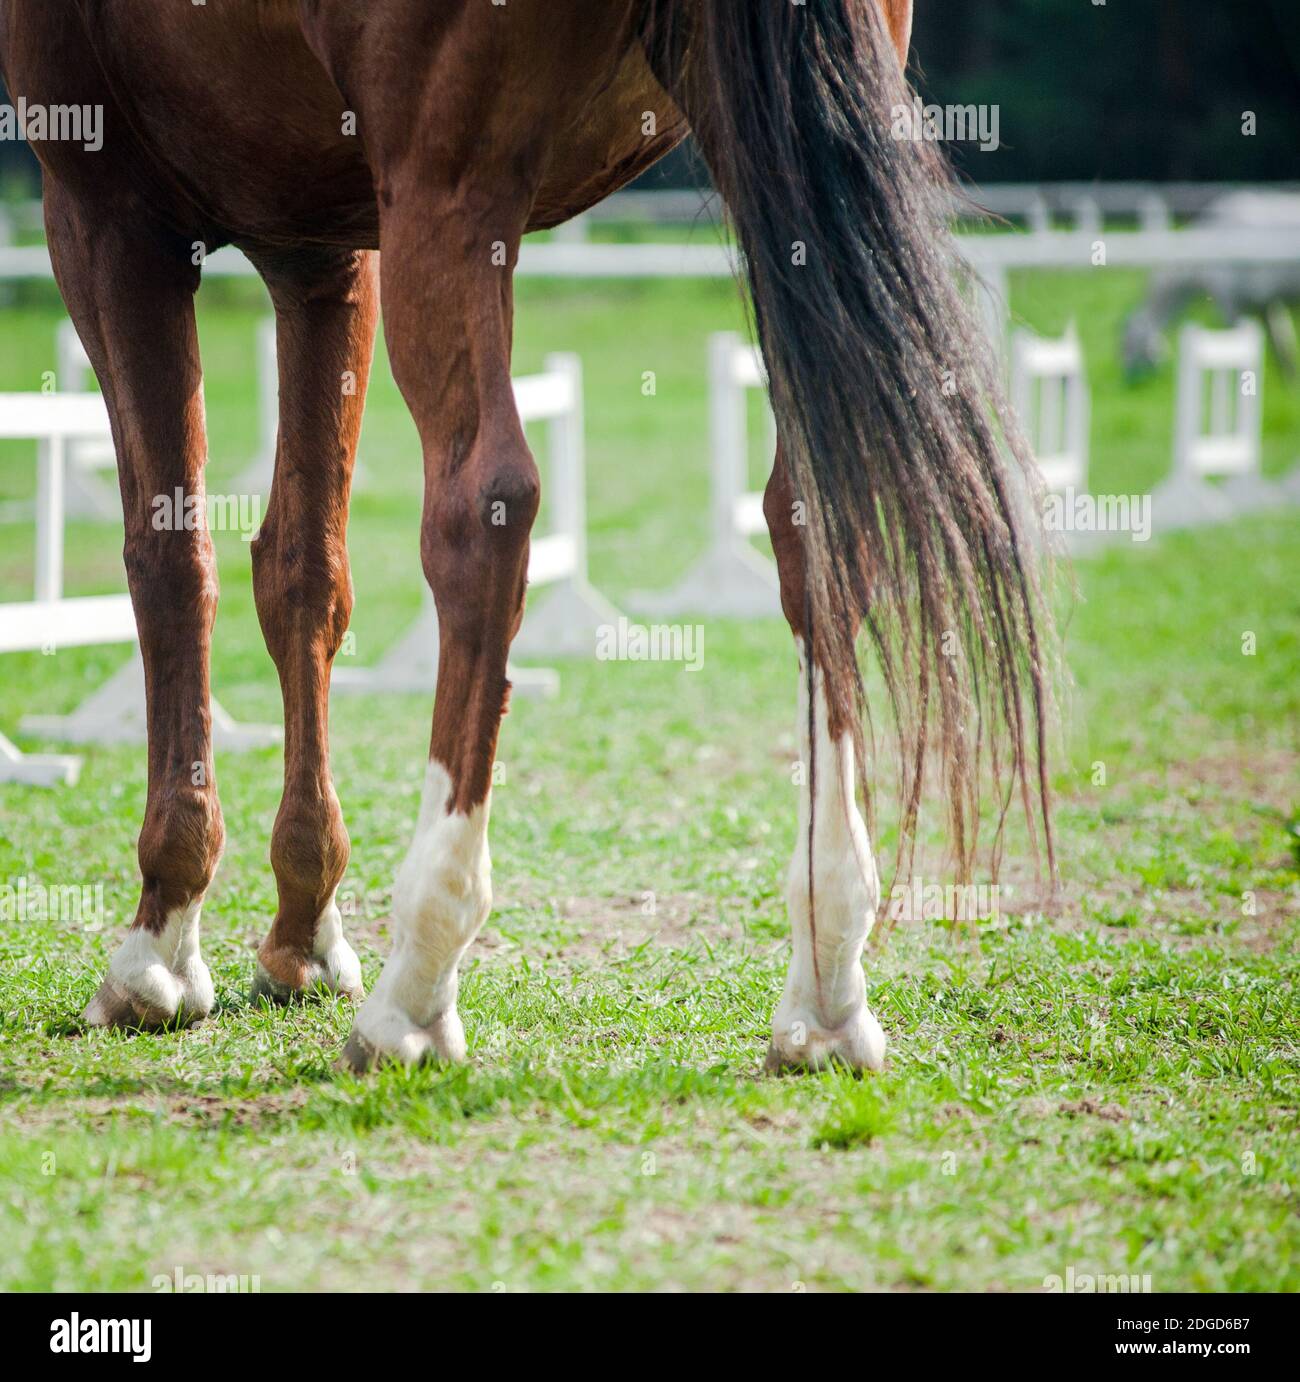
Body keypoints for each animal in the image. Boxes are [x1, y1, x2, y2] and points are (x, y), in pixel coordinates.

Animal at [0, 0, 1049, 1072]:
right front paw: (304, 930)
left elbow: (170, 559)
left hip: (451, 188)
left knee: (482, 511)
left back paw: (416, 988)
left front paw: (160, 944)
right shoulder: (322, 250)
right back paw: (828, 986)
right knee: (811, 511)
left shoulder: (109, 215)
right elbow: (302, 571)